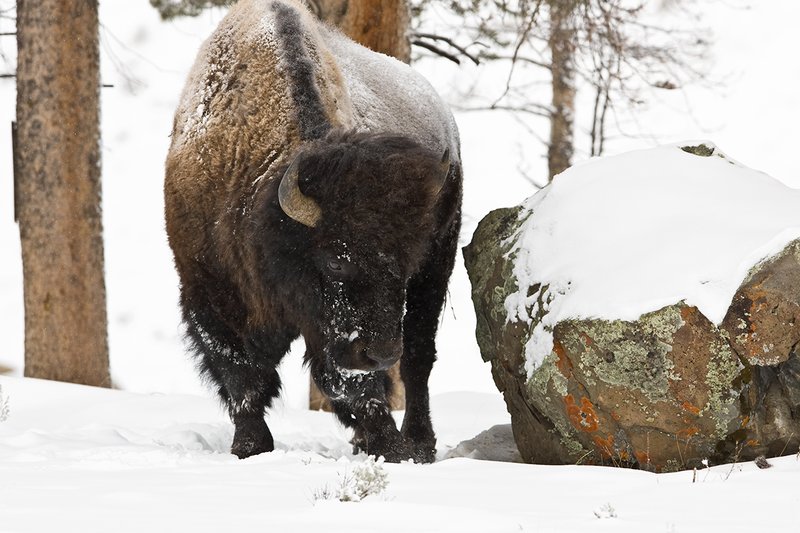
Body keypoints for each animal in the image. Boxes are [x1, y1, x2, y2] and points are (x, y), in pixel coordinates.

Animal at [164, 0, 462, 463]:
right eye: (336, 260)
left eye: (405, 262)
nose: (379, 352)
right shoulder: (207, 291)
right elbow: (240, 372)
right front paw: (250, 445)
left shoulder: (338, 330)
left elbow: (354, 382)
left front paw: (391, 447)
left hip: (439, 264)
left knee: (417, 357)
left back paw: (418, 440)